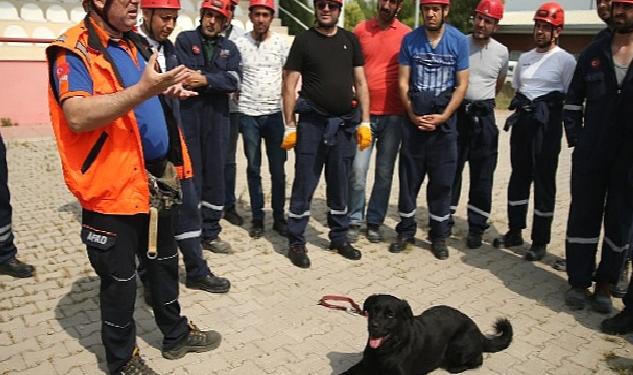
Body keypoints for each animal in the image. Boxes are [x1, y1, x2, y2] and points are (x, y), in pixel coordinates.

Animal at [340, 296, 512, 374]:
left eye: (390, 315)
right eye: (373, 311)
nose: (373, 326)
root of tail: (478, 330)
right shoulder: (364, 366)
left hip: (459, 345)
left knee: (478, 360)